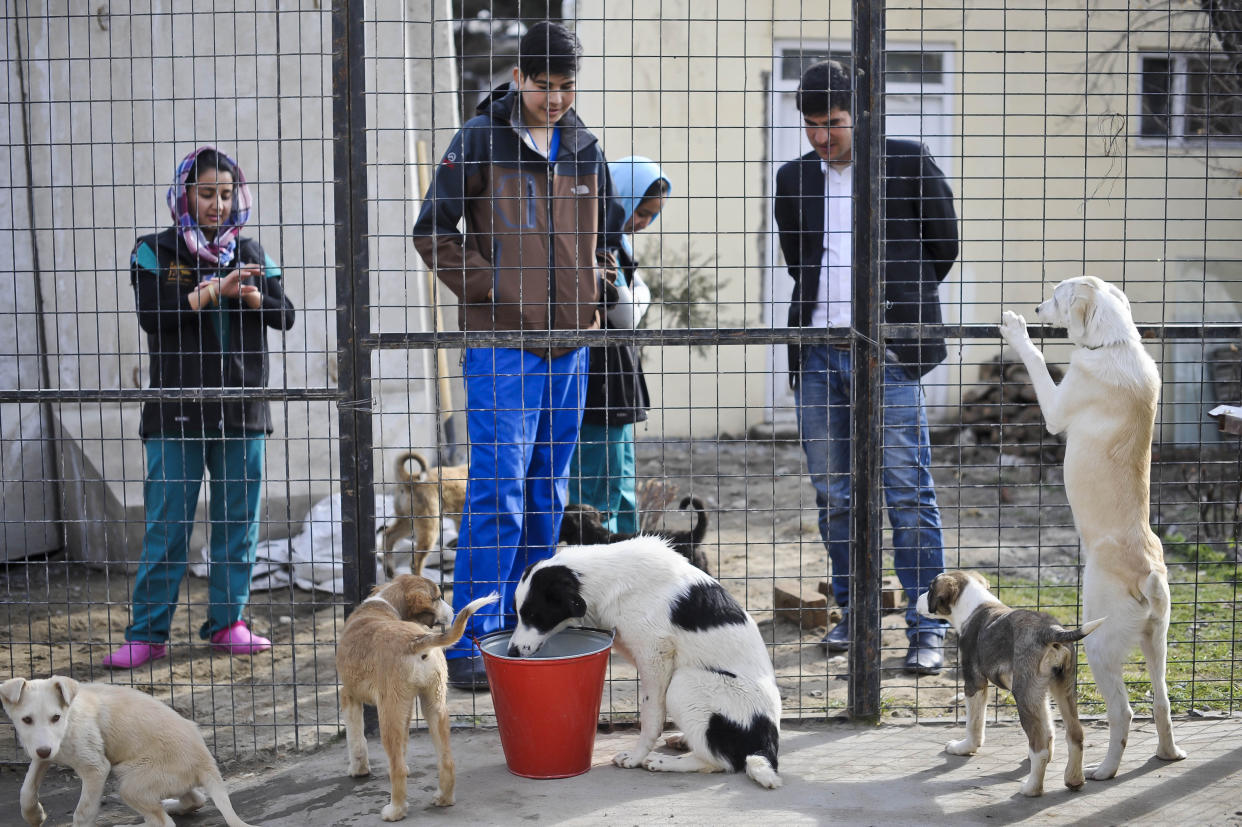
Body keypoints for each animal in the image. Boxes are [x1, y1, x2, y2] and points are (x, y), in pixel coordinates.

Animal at [0, 675, 254, 819]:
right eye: (26, 720)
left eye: (55, 717)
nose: (45, 750)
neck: (69, 718)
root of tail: (207, 761)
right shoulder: (42, 753)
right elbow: (26, 790)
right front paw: (35, 816)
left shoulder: (96, 768)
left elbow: (83, 812)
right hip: (163, 781)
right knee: (195, 799)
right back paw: (171, 806)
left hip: (131, 783)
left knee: (164, 822)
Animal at [340, 573, 499, 819]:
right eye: (438, 598)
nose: (452, 610)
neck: (384, 603)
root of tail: (415, 639)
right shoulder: (405, 708)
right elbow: (403, 745)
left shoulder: (349, 695)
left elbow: (356, 739)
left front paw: (358, 770)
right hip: (434, 704)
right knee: (446, 760)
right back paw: (444, 798)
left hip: (389, 713)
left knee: (395, 767)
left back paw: (395, 810)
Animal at [506, 533, 779, 784]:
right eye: (517, 613)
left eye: (534, 615)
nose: (512, 653)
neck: (608, 578)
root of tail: (767, 739)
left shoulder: (654, 653)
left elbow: (650, 717)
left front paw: (636, 757)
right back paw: (683, 741)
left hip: (685, 684)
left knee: (722, 761)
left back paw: (664, 761)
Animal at [914, 566, 1107, 794]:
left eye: (930, 588)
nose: (917, 599)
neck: (975, 605)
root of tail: (1051, 631)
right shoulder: (1041, 694)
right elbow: (1049, 727)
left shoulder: (974, 683)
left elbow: (974, 724)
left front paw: (964, 748)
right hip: (1061, 687)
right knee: (1075, 734)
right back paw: (1074, 779)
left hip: (1023, 692)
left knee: (1040, 746)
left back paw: (1031, 788)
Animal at [998, 273, 1182, 774]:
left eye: (1057, 297)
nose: (1036, 310)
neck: (1114, 344)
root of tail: (1149, 574)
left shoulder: (1055, 407)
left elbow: (1038, 361)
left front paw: (1017, 330)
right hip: (1156, 643)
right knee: (1161, 703)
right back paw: (1167, 753)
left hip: (1099, 646)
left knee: (1125, 711)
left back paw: (1102, 771)